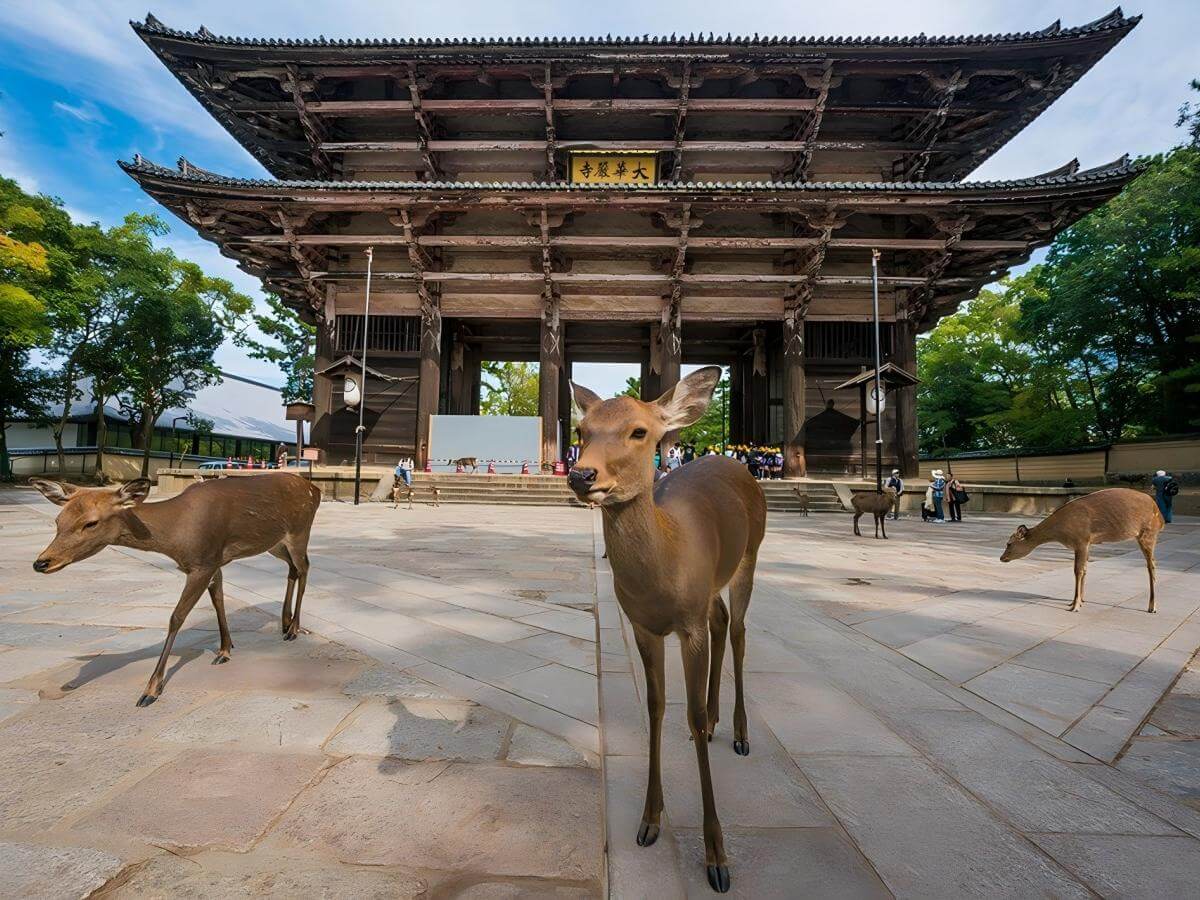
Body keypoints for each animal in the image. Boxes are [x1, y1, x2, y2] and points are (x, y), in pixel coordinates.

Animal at [31, 473, 321, 706]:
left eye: (91, 522)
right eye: (58, 520)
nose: (41, 562)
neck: (175, 536)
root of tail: (315, 489)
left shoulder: (203, 564)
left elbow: (176, 617)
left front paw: (150, 690)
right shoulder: (213, 561)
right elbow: (218, 600)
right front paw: (225, 650)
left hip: (299, 532)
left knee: (305, 567)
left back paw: (294, 629)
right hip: (274, 543)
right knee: (292, 569)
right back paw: (284, 623)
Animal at [569, 366, 765, 894]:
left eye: (640, 431)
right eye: (581, 430)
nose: (581, 474)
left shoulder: (688, 624)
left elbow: (689, 714)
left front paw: (717, 857)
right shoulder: (643, 625)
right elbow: (656, 707)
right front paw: (649, 820)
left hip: (750, 554)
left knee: (739, 629)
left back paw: (739, 732)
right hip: (711, 587)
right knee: (722, 620)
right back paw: (719, 721)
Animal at [1000, 487, 1164, 613]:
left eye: (1009, 544)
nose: (1001, 558)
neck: (1061, 532)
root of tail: (1160, 517)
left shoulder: (1081, 540)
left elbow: (1078, 571)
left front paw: (1076, 606)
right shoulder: (1084, 544)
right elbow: (1084, 569)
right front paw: (1076, 601)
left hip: (1148, 534)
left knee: (1152, 565)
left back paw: (1152, 607)